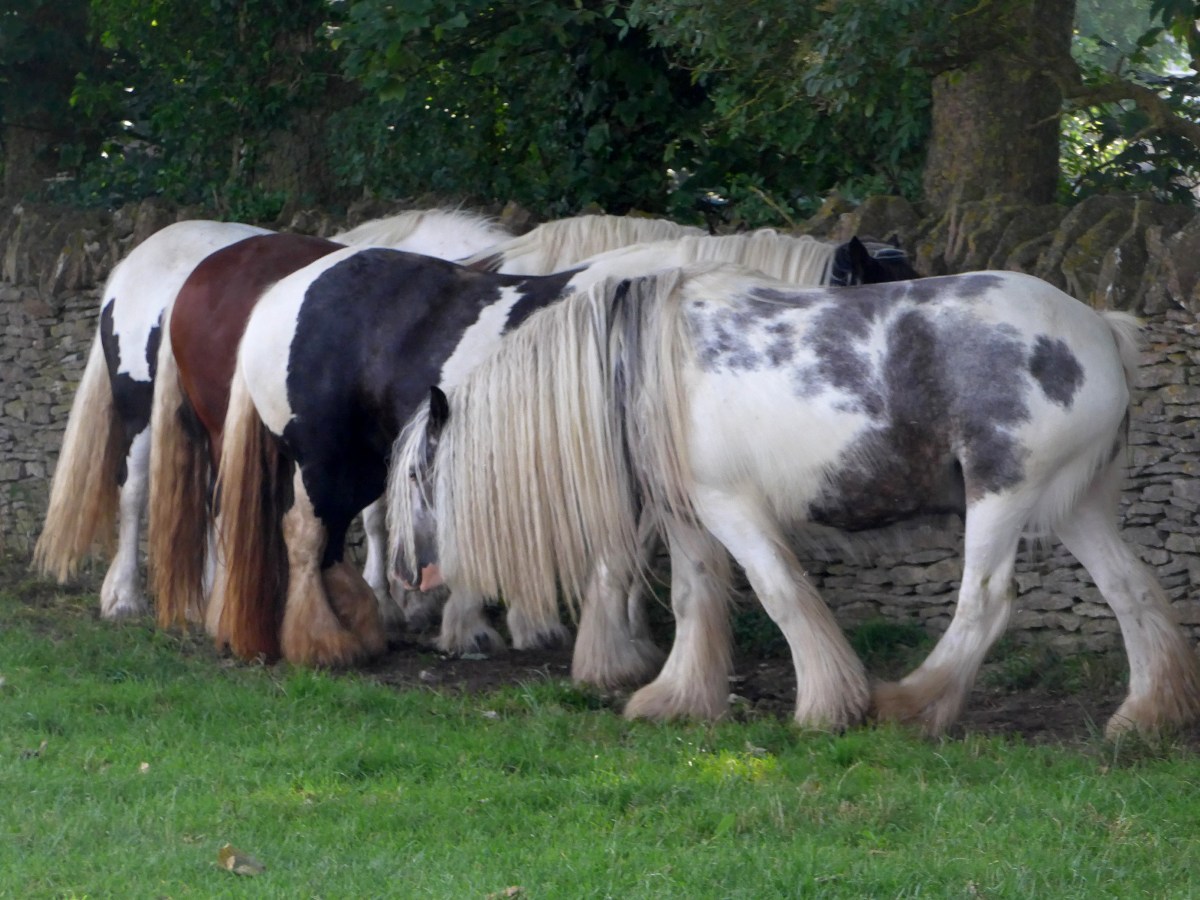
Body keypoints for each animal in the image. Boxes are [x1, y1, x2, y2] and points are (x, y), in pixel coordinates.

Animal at [33, 209, 508, 620]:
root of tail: (132, 264)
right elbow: (380, 516)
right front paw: (386, 599)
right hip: (141, 408)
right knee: (134, 491)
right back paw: (125, 596)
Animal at [210, 232, 918, 669]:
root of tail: (285, 293)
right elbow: (621, 554)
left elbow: (636, 552)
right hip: (328, 463)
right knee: (310, 537)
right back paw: (327, 643)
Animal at [389, 265, 1200, 738]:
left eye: (416, 478)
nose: (403, 573)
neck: (642, 370)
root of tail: (1098, 330)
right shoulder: (689, 518)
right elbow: (695, 600)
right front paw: (678, 698)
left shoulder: (730, 509)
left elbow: (780, 595)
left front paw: (827, 705)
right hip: (1077, 506)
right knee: (1131, 592)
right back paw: (1145, 715)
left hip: (1001, 494)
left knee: (987, 602)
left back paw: (911, 704)